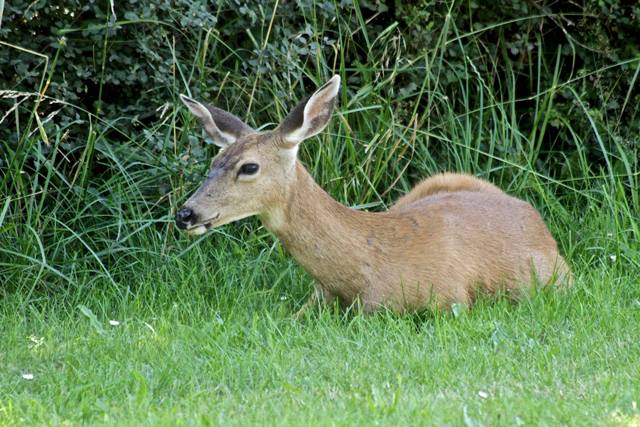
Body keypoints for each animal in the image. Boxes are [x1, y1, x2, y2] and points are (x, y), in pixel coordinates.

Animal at [174, 75, 568, 316]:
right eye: (214, 161)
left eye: (249, 167)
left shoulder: (450, 300)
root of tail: (537, 220)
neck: (361, 272)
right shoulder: (314, 300)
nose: (186, 213)